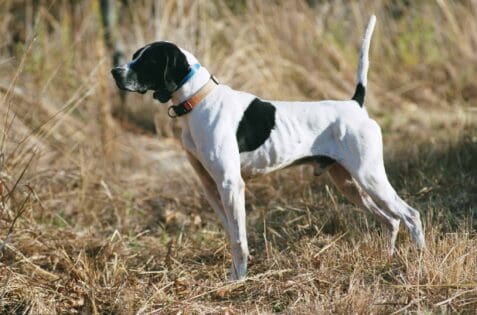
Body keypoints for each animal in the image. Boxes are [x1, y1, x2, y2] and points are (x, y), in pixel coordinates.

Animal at [110, 16, 424, 280]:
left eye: (146, 60)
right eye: (134, 55)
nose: (114, 71)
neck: (199, 100)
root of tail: (355, 104)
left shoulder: (231, 184)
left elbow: (239, 238)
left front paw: (238, 280)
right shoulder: (210, 186)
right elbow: (232, 232)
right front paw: (235, 273)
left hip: (370, 177)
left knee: (410, 215)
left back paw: (419, 259)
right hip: (349, 184)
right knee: (390, 220)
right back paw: (386, 258)